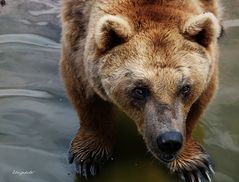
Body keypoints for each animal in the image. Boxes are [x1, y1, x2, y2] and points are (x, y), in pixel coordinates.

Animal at [59, 0, 222, 181]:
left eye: (185, 88)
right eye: (140, 90)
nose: (169, 141)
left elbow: (199, 102)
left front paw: (194, 165)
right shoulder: (77, 28)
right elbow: (85, 92)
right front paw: (89, 158)